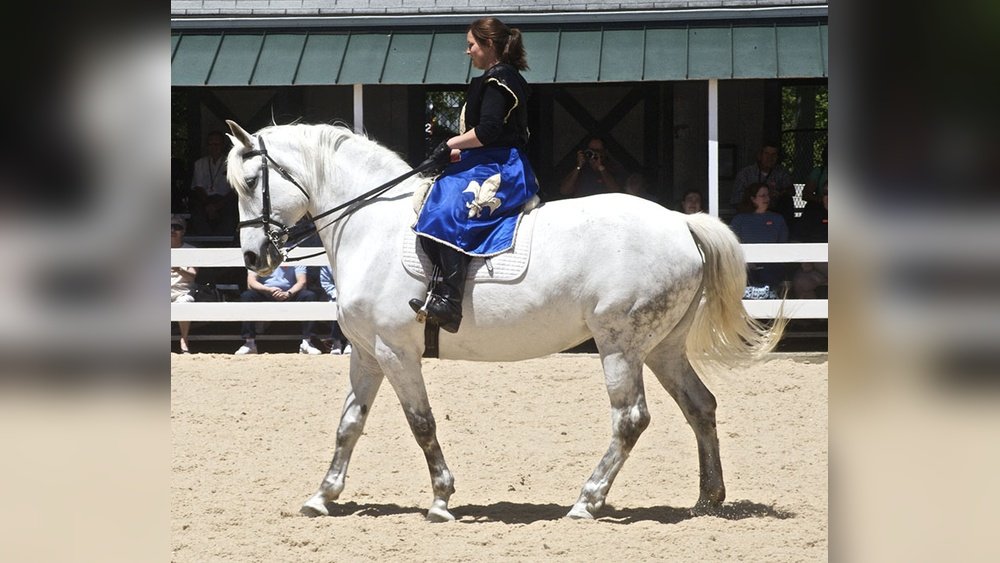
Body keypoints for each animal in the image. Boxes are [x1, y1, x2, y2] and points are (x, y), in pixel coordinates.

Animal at [224, 120, 785, 522]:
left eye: (252, 182)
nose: (254, 259)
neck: (369, 225)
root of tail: (681, 223)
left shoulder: (396, 352)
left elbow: (421, 423)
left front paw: (441, 500)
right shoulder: (367, 353)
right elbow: (348, 425)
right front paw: (322, 496)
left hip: (620, 346)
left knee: (630, 419)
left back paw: (586, 501)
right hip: (663, 348)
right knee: (700, 406)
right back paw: (708, 499)